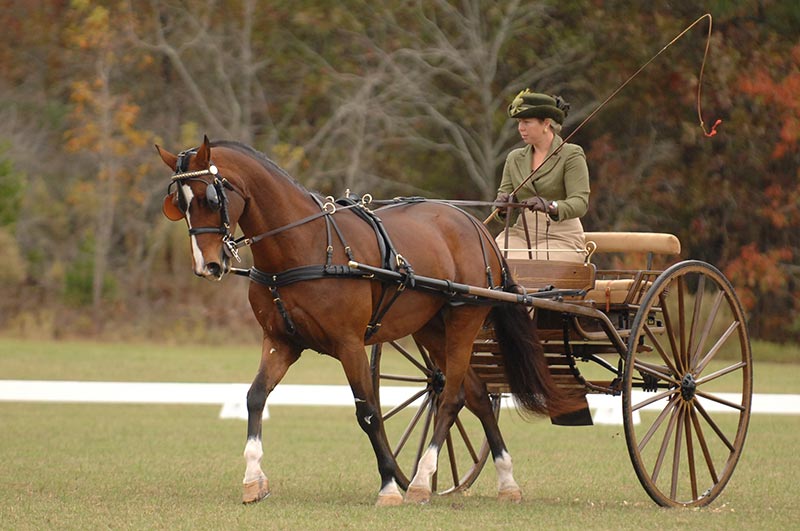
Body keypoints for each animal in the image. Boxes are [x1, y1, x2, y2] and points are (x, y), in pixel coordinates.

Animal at [158, 135, 580, 504]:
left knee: (451, 398)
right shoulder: (281, 342)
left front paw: (390, 487)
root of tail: (476, 226)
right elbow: (254, 398)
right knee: (472, 393)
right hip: (430, 328)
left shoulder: (349, 344)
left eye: (211, 197)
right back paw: (506, 482)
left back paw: (422, 481)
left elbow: (368, 412)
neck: (304, 246)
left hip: (464, 318)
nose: (208, 265)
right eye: (178, 202)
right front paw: (253, 480)